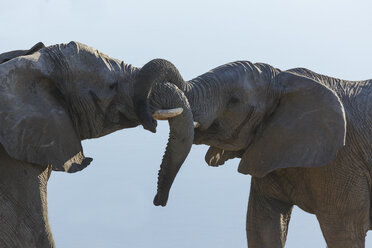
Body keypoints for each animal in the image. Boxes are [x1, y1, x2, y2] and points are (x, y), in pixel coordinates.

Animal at [134, 60, 372, 248]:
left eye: (234, 100)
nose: (159, 201)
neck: (283, 80)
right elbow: (262, 228)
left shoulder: (342, 161)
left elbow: (342, 233)